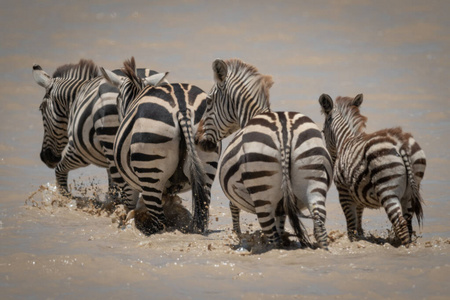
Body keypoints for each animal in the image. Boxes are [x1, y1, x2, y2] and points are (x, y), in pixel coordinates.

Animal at [32, 58, 165, 206]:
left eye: (41, 109)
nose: (46, 157)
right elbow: (112, 187)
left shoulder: (79, 152)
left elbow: (60, 171)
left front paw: (65, 200)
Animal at [101, 58, 221, 237]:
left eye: (117, 101)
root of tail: (182, 108)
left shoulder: (129, 185)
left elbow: (130, 208)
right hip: (207, 165)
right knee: (200, 215)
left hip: (150, 170)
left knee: (160, 224)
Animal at [195, 58, 332, 248]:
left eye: (208, 102)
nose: (197, 139)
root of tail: (284, 131)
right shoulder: (282, 207)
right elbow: (281, 223)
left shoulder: (237, 193)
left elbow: (233, 208)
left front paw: (238, 235)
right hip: (314, 180)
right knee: (319, 229)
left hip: (262, 195)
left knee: (272, 238)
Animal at [316, 94, 426, 246]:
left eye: (322, 132)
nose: (332, 161)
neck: (345, 140)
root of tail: (400, 144)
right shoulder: (357, 191)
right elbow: (359, 215)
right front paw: (360, 235)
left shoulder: (344, 192)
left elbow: (350, 222)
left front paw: (352, 241)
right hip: (411, 191)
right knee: (408, 223)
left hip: (387, 188)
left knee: (400, 223)